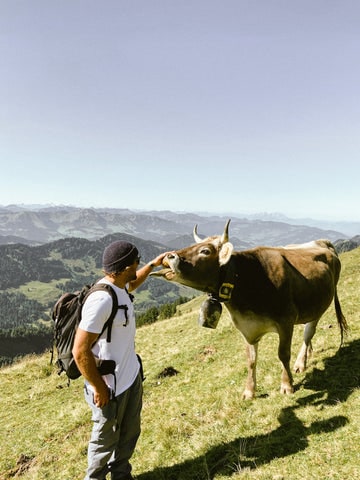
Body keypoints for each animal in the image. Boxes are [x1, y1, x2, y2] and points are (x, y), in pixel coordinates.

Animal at [150, 220, 348, 398]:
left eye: (205, 251)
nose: (168, 256)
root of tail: (323, 242)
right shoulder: (247, 328)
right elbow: (251, 360)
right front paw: (249, 391)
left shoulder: (286, 321)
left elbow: (283, 354)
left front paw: (287, 385)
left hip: (320, 306)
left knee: (308, 333)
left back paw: (300, 363)